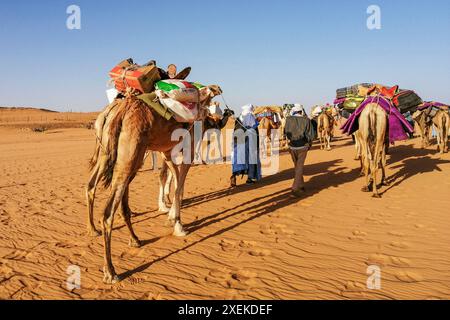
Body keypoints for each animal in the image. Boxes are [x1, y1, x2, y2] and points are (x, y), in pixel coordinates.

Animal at [85, 84, 221, 282]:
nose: (219, 120)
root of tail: (118, 112)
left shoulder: (167, 151)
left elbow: (174, 180)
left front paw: (170, 217)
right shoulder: (187, 148)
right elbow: (179, 185)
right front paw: (178, 225)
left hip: (111, 154)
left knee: (92, 186)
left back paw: (119, 236)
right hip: (130, 154)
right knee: (108, 212)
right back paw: (111, 271)